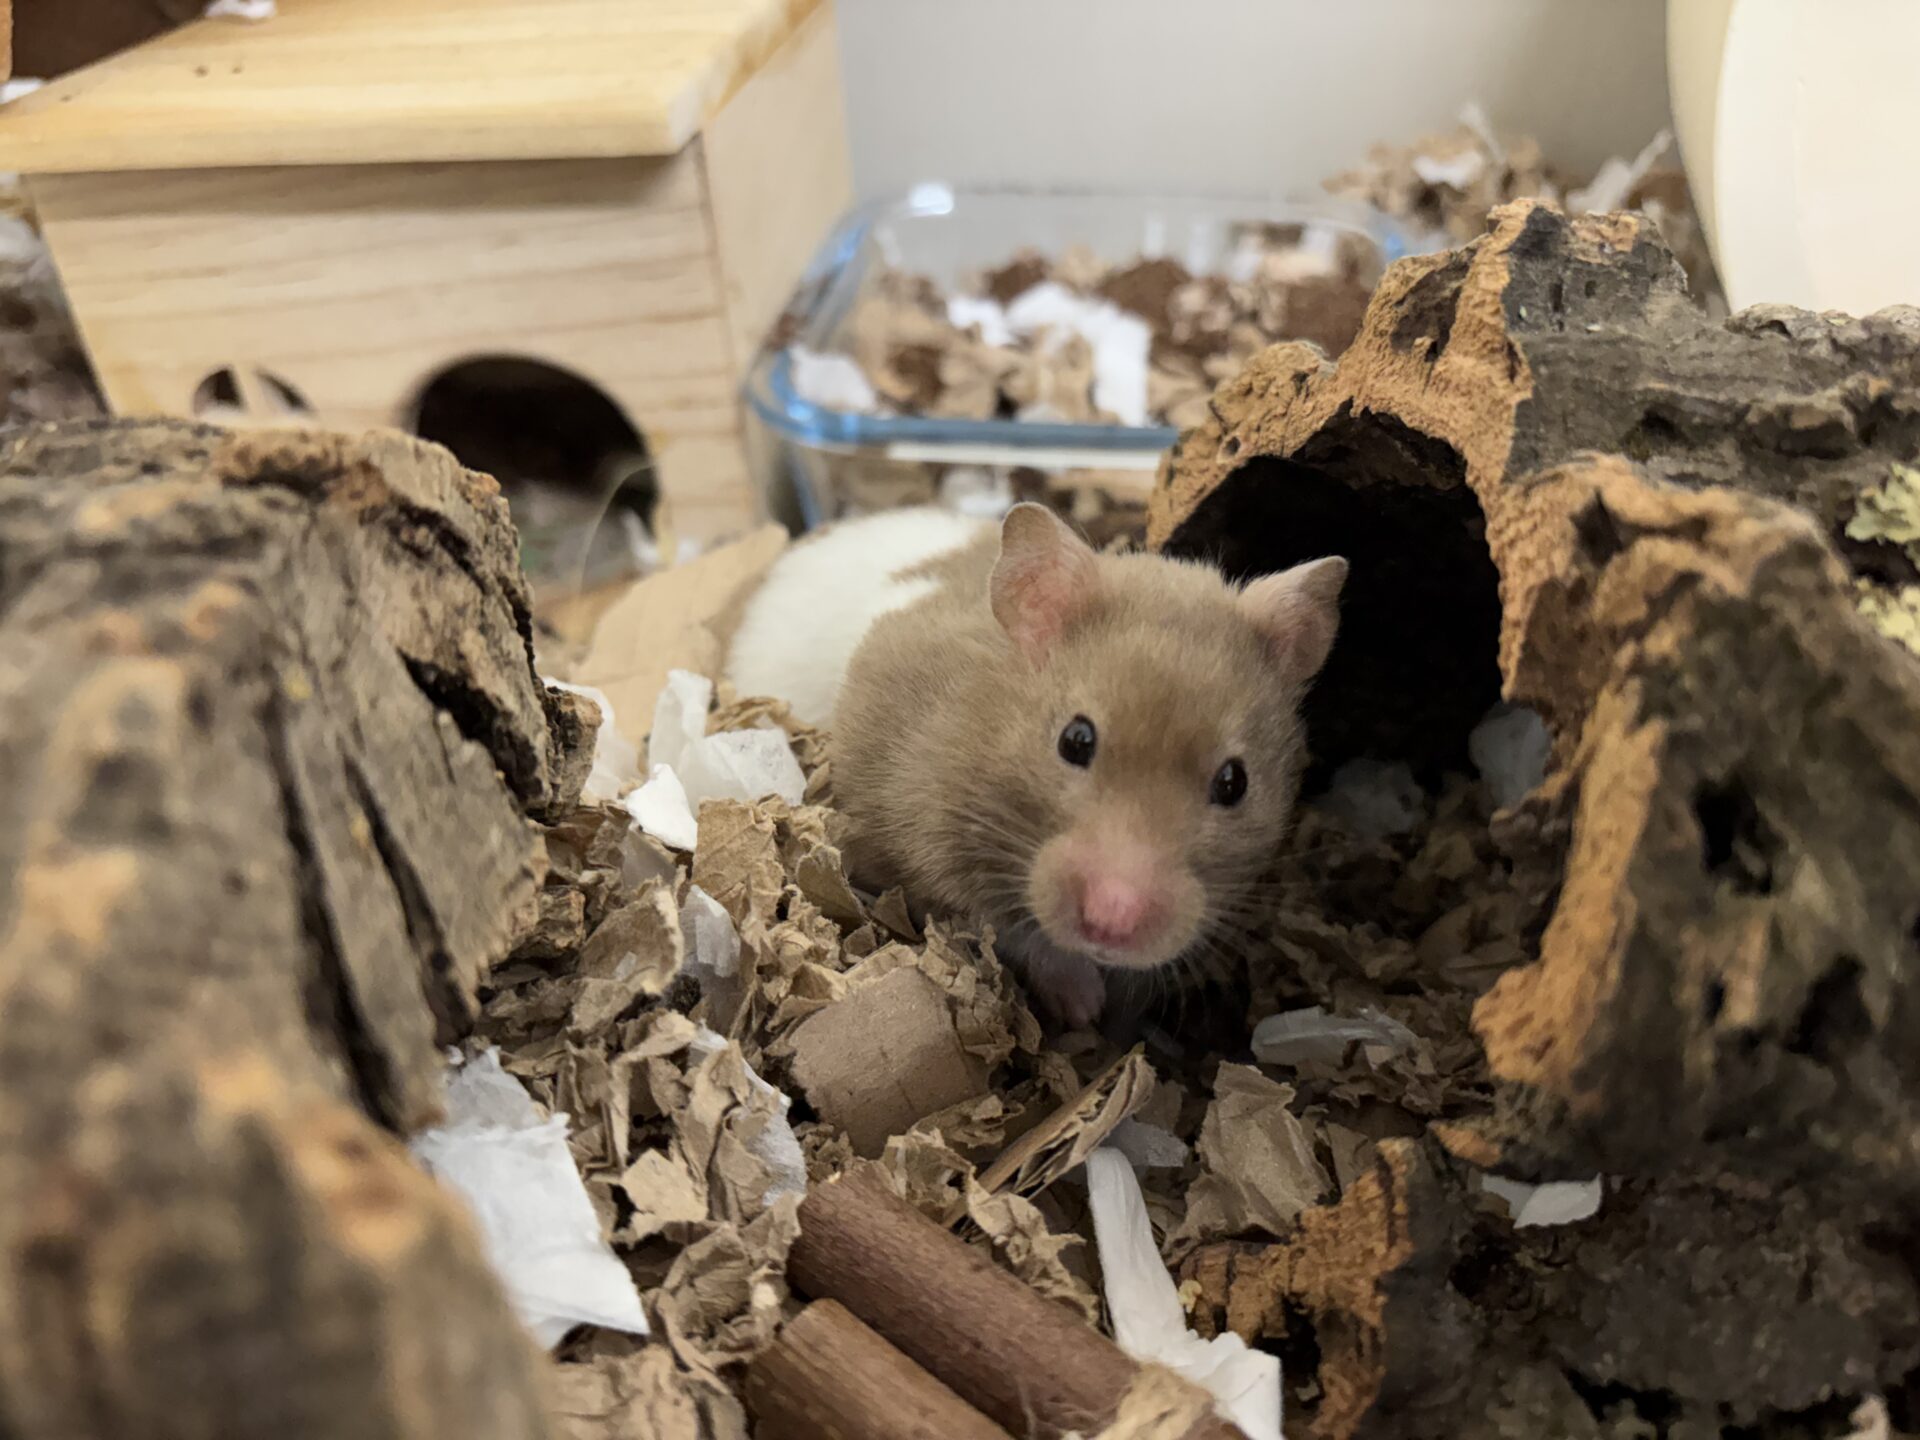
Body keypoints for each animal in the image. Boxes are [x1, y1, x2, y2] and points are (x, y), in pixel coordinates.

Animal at [725, 503, 1346, 1028]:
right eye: (1075, 740)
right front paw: (1085, 1007)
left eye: (1234, 782)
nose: (1113, 923)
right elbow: (1011, 932)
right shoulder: (923, 855)